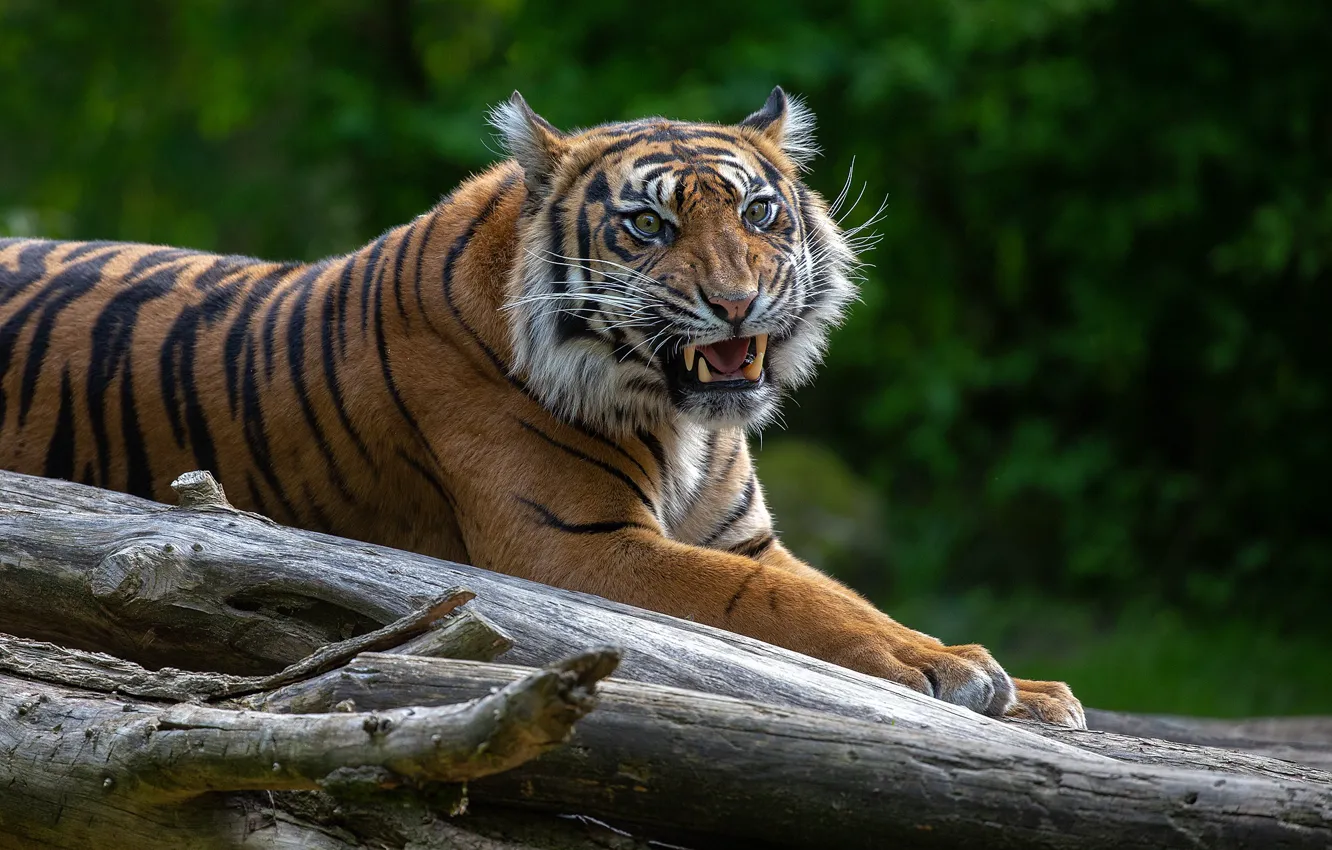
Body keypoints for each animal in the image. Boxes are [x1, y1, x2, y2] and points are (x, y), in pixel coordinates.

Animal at [0, 87, 1083, 726]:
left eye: (758, 212)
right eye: (647, 226)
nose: (738, 302)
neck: (679, 415)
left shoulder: (741, 537)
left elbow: (837, 595)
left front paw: (1019, 685)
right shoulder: (579, 548)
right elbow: (785, 605)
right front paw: (950, 671)